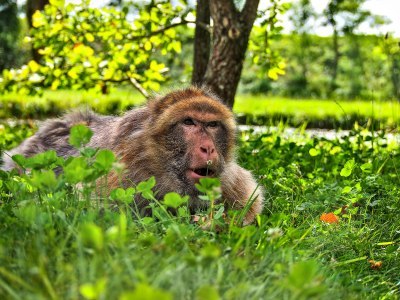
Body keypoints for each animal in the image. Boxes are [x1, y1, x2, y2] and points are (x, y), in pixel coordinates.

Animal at [1, 86, 264, 225]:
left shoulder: (231, 183)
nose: (208, 148)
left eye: (212, 125)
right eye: (189, 122)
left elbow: (249, 207)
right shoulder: (120, 179)